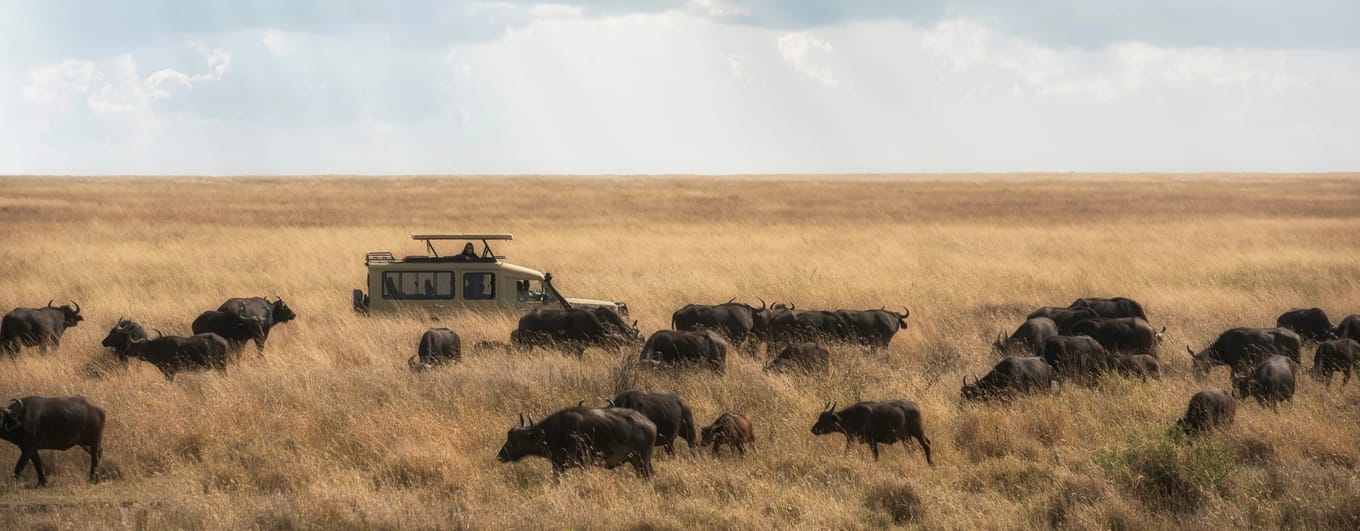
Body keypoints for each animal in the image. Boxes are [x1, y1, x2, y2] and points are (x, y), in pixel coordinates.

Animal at [497, 405, 655, 481]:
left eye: (515, 440)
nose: (500, 456)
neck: (556, 432)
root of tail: (651, 425)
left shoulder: (584, 464)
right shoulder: (557, 466)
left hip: (642, 460)